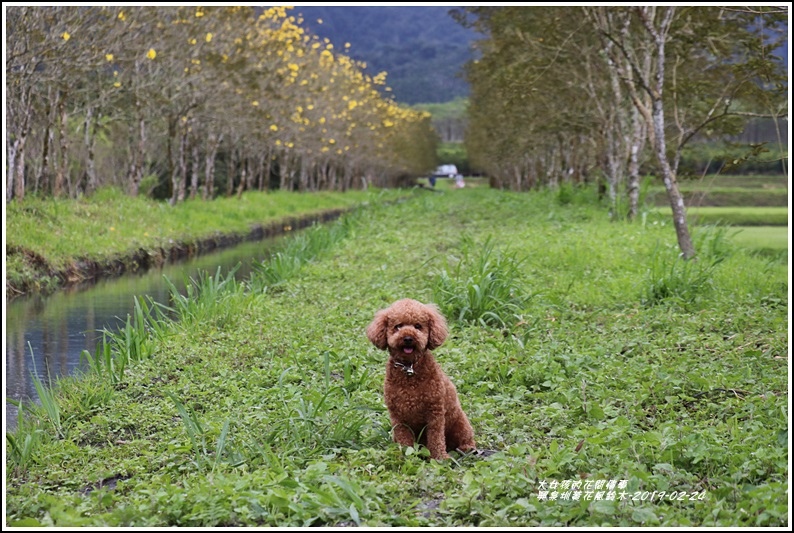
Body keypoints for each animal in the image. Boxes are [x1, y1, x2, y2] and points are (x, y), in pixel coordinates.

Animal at [366, 298, 476, 460]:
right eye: (398, 326)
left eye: (418, 326)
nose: (408, 338)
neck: (409, 368)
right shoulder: (398, 417)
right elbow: (404, 439)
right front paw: (406, 456)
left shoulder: (435, 413)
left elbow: (436, 438)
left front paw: (439, 458)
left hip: (460, 424)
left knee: (465, 438)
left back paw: (466, 449)